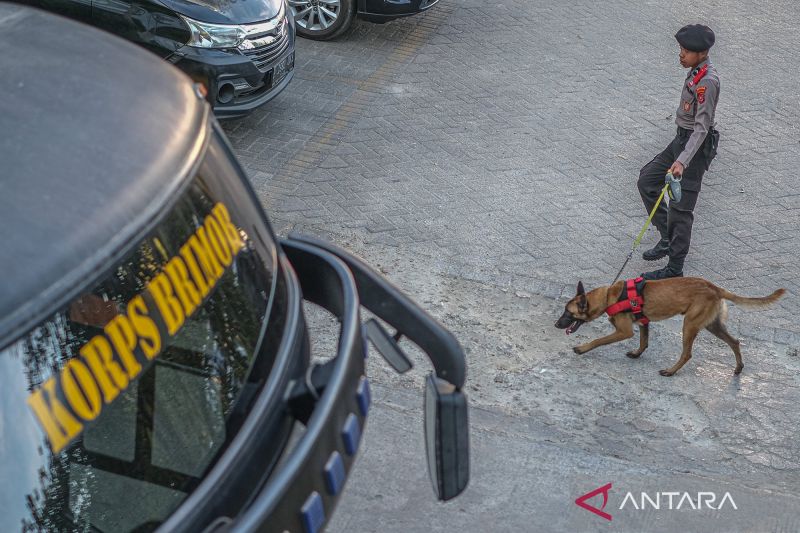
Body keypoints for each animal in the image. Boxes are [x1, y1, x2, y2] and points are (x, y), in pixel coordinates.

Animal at [552, 278, 784, 374]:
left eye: (568, 313)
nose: (556, 324)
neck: (610, 296)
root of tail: (716, 288)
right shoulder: (643, 323)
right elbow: (644, 341)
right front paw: (637, 353)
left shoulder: (623, 331)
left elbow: (599, 340)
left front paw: (582, 348)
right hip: (712, 325)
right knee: (735, 342)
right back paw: (738, 368)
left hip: (690, 324)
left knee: (687, 354)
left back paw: (671, 371)